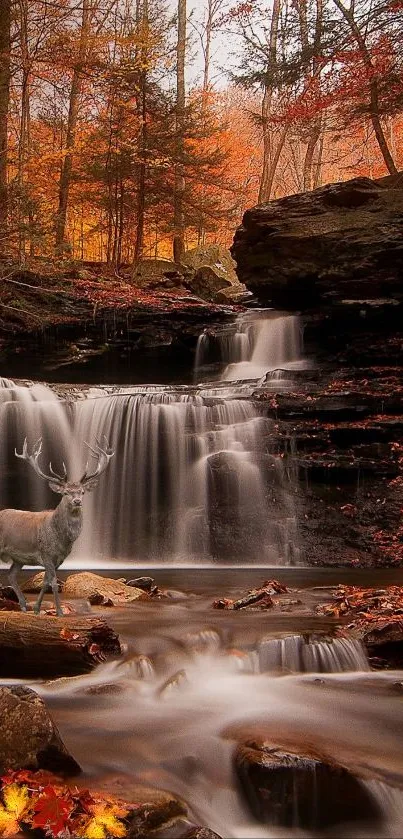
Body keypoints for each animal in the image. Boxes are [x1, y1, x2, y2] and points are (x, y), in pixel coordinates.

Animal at [0, 440, 113, 616]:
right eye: (65, 492)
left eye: (82, 492)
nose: (77, 501)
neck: (61, 539)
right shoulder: (45, 554)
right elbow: (53, 582)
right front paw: (59, 612)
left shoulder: (59, 559)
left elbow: (46, 582)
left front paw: (37, 609)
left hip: (18, 559)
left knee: (11, 575)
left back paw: (24, 605)